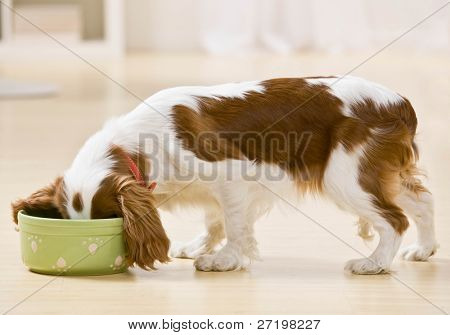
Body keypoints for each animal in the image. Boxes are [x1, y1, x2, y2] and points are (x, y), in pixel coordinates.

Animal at [12, 77, 438, 276]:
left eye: (111, 220)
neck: (136, 147)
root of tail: (399, 102)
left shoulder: (230, 177)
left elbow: (234, 225)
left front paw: (224, 260)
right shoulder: (211, 191)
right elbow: (214, 219)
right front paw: (202, 245)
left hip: (346, 177)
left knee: (394, 220)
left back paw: (374, 264)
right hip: (382, 173)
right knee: (422, 202)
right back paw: (425, 249)